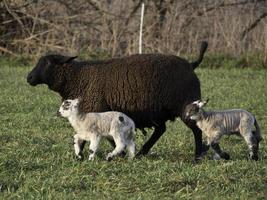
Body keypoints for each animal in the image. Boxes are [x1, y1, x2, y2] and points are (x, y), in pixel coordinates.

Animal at [28, 41, 210, 159]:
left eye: (47, 63)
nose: (28, 78)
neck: (78, 78)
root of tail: (191, 64)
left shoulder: (99, 111)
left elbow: (106, 137)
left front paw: (117, 154)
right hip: (158, 111)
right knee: (161, 130)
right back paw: (141, 153)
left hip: (186, 105)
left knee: (196, 129)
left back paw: (197, 156)